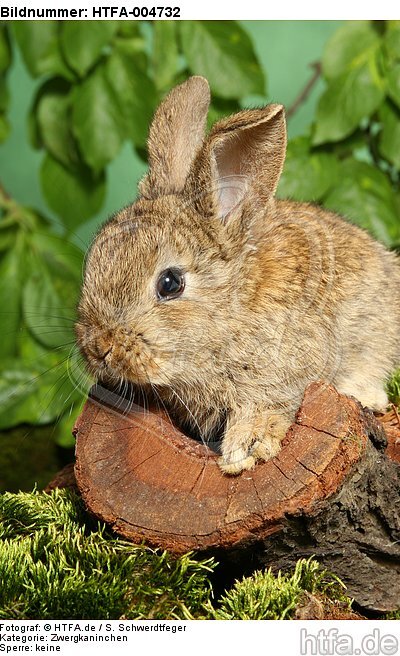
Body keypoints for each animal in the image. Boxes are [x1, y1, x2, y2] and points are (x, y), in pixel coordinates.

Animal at [75, 75, 400, 475]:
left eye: (170, 283)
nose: (99, 348)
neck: (231, 310)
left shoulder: (284, 375)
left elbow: (266, 406)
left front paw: (245, 450)